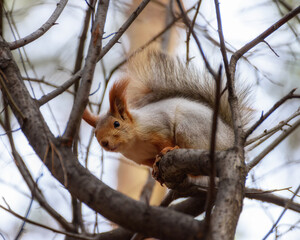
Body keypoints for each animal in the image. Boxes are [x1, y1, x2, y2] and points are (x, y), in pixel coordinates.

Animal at [81, 48, 248, 168]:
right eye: (95, 134)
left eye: (116, 124)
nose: (104, 143)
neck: (134, 143)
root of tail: (230, 140)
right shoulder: (141, 158)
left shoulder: (158, 128)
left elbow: (165, 141)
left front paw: (166, 150)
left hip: (190, 130)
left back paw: (175, 149)